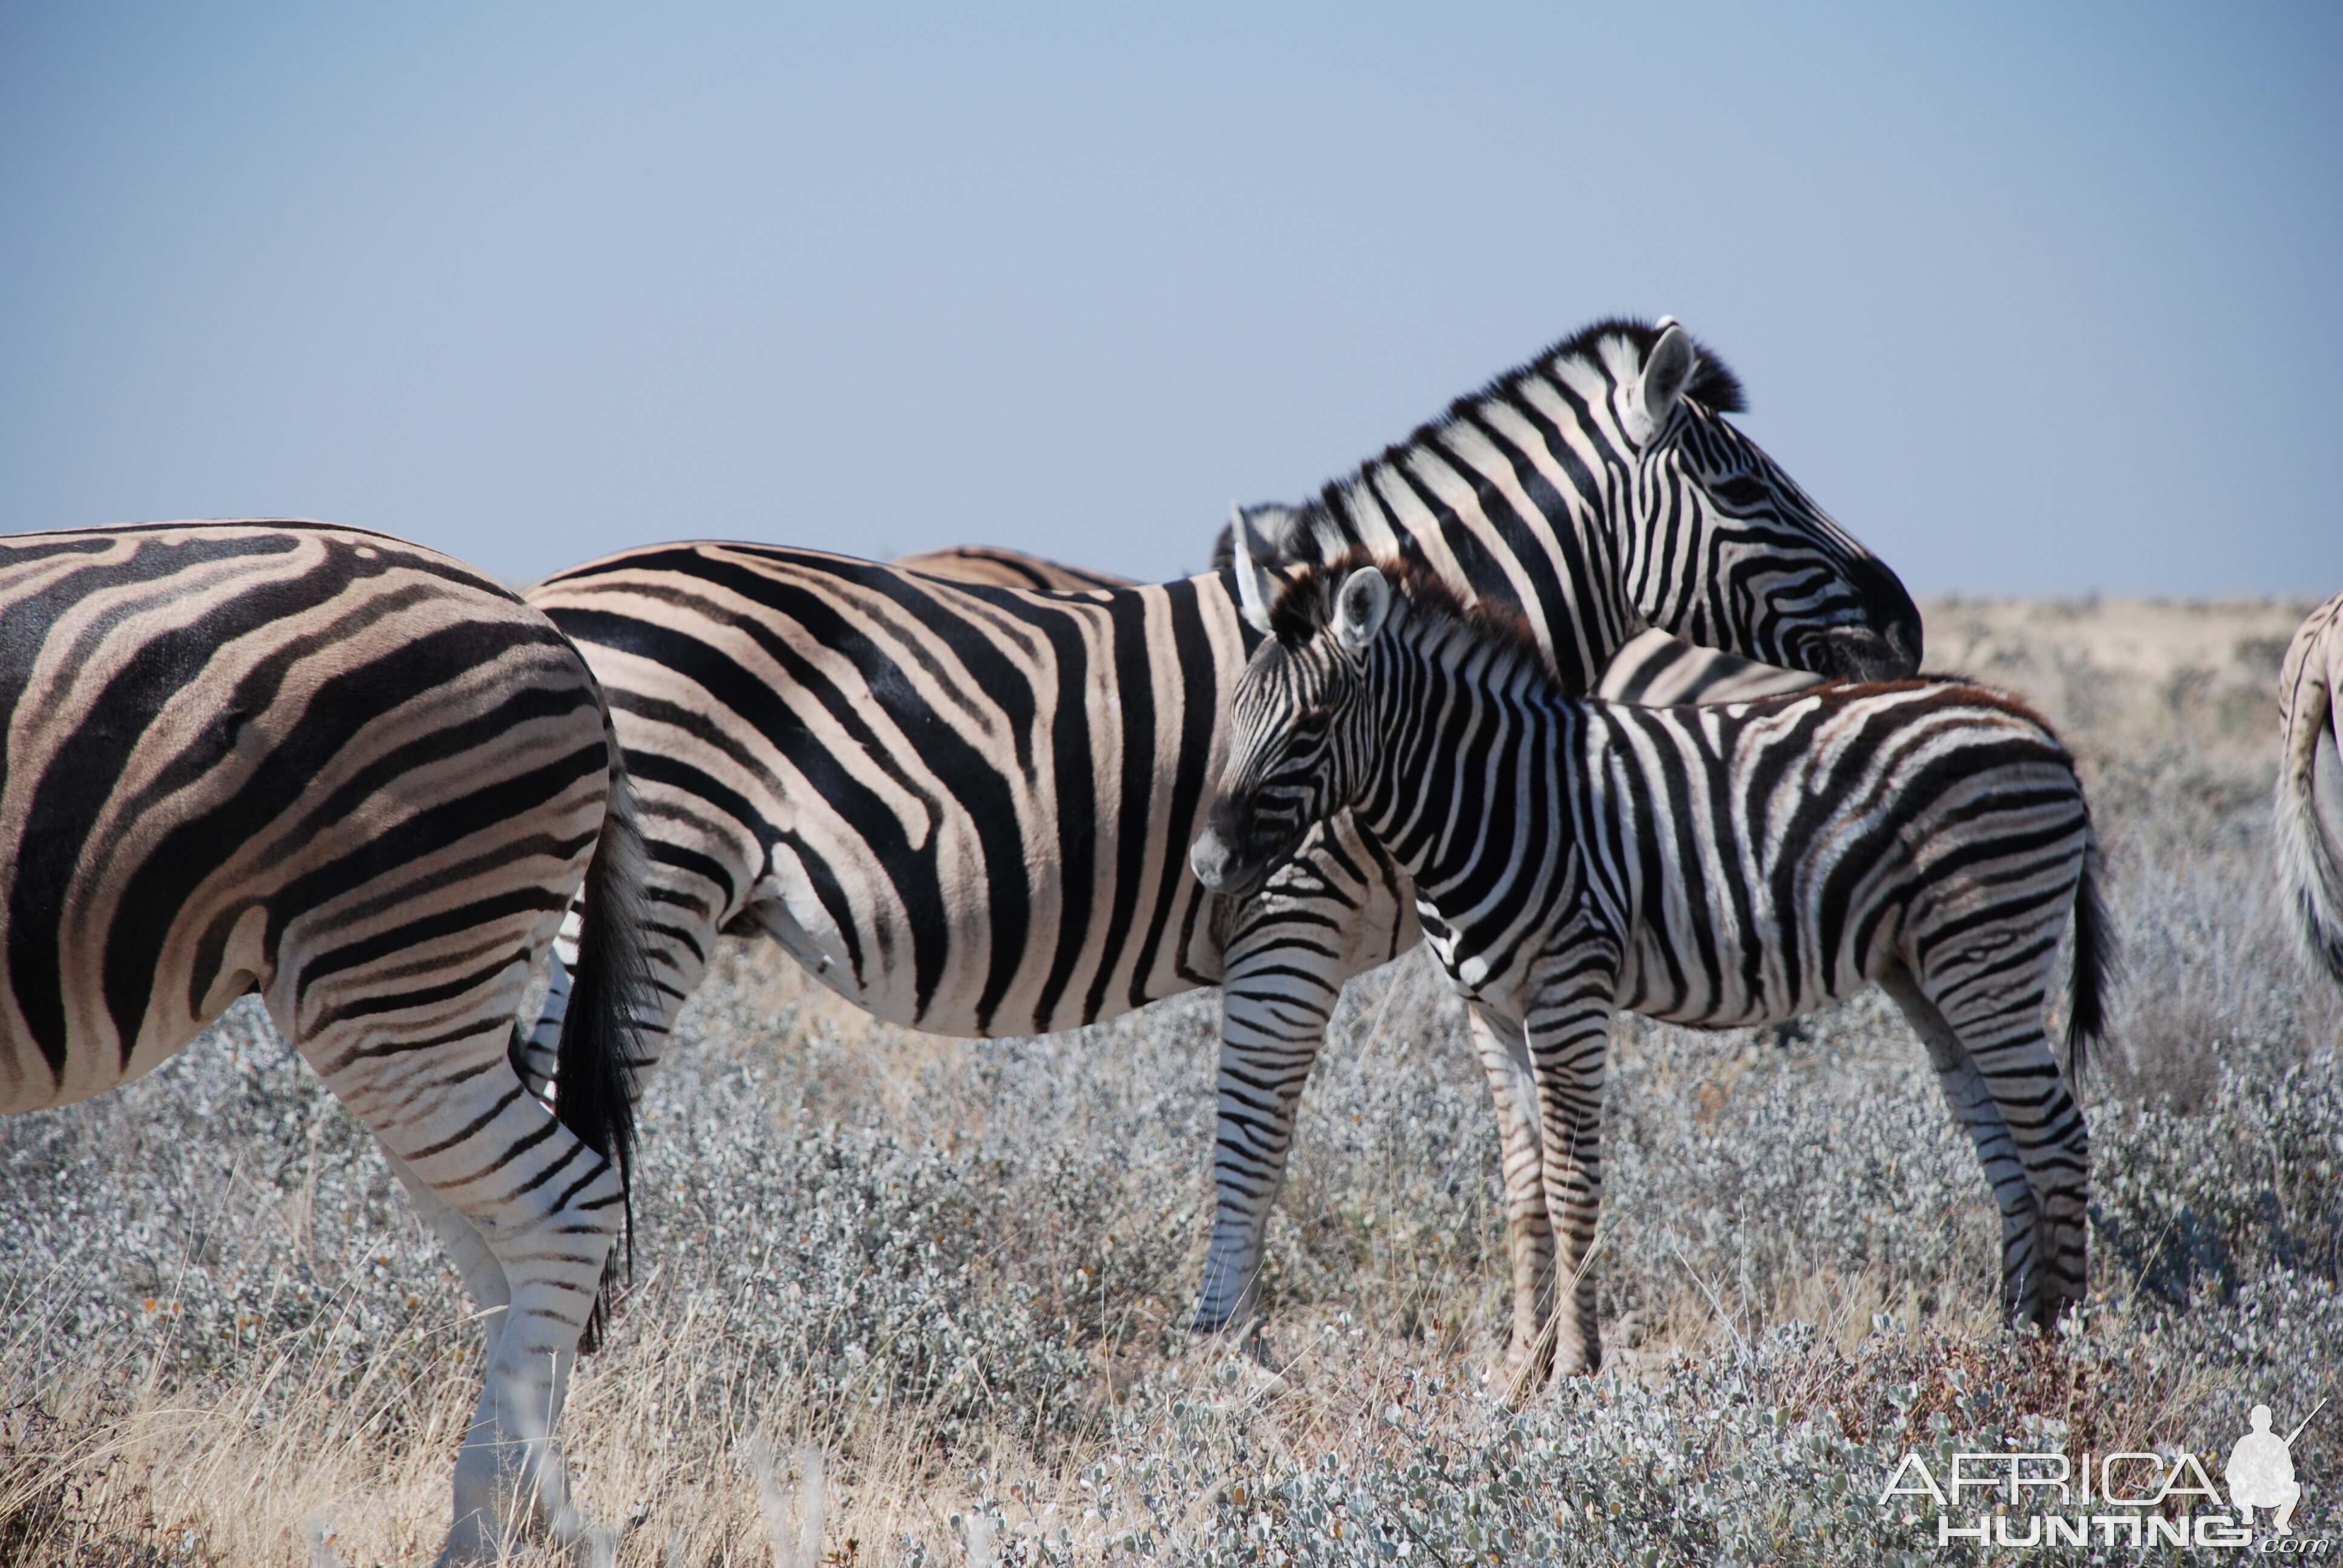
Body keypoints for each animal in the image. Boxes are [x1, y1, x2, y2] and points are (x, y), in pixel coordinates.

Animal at [2, 523, 660, 1566]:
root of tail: (563, 646)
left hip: (398, 966)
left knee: (562, 1206)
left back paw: (484, 1524)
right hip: (423, 1002)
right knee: (498, 1245)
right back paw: (541, 1511)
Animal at [527, 314, 1921, 1331]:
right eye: (1743, 488)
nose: (1905, 622)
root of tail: (551, 594)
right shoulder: (1289, 918)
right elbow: (1255, 1138)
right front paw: (1225, 1349)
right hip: (657, 894)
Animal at [1190, 555, 2108, 1387]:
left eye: (1312, 723)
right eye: (1231, 712)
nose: (1205, 862)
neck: (1491, 798)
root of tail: (2032, 722)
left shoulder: (1569, 989)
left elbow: (1570, 1184)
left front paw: (1573, 1371)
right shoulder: (1489, 1010)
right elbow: (1522, 1187)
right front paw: (1516, 1371)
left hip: (1986, 951)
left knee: (2056, 1139)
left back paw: (2055, 1361)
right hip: (1927, 971)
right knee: (2005, 1144)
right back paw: (2005, 1347)